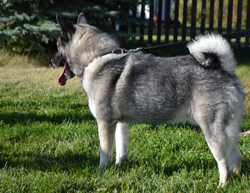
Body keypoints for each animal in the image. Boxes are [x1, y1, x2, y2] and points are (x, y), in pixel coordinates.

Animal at [50, 13, 244, 185]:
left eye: (57, 46)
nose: (52, 61)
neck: (97, 57)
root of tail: (224, 69)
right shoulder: (120, 123)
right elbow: (121, 148)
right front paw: (119, 166)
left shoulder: (105, 123)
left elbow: (105, 153)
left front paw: (102, 171)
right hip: (228, 131)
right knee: (237, 156)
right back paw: (238, 179)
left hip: (213, 131)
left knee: (225, 164)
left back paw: (222, 185)